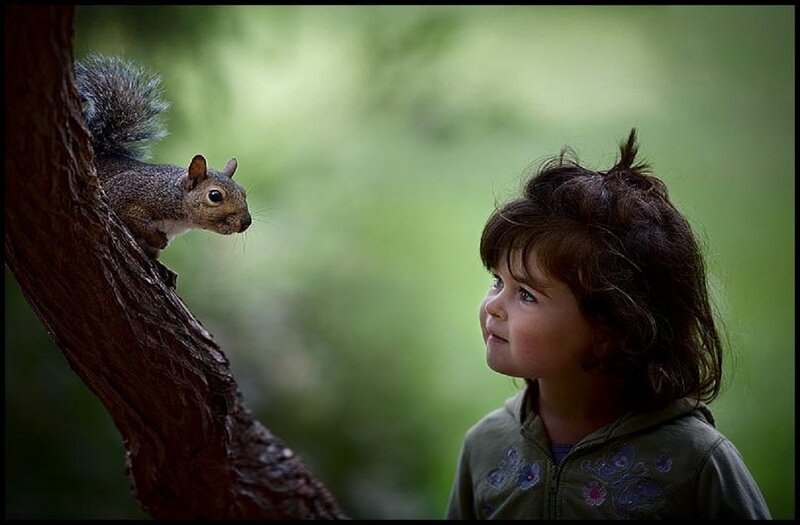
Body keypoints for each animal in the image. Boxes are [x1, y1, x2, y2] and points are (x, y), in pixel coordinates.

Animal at [74, 54, 252, 284]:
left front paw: (161, 264)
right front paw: (159, 239)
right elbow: (137, 221)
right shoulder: (126, 193)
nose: (246, 222)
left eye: (243, 192)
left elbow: (153, 252)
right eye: (215, 196)